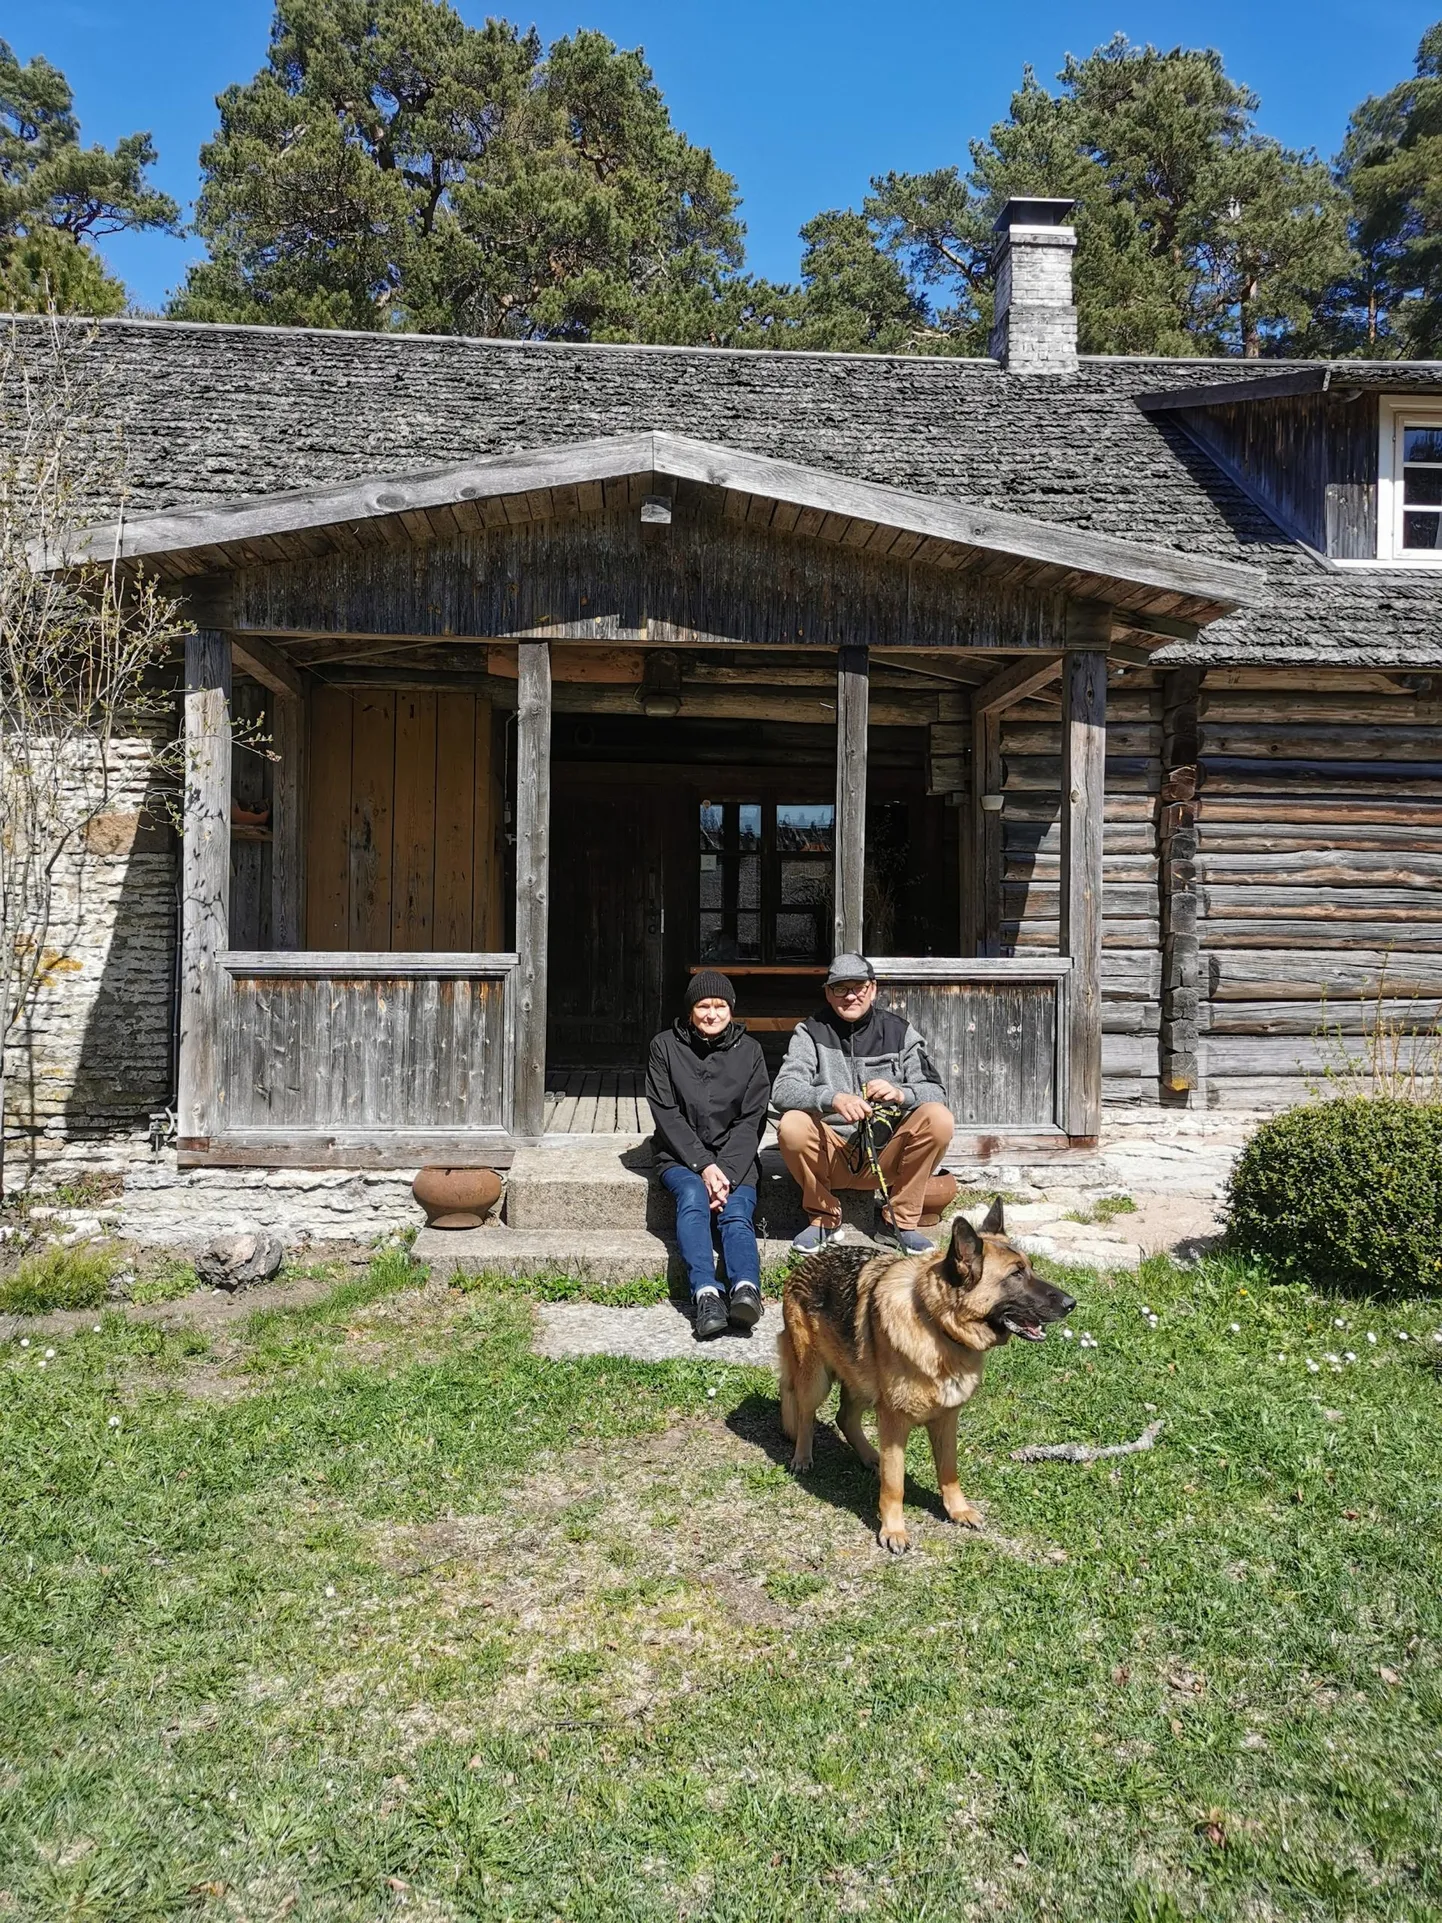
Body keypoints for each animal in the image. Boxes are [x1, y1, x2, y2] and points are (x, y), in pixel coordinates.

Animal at [780, 1199, 1076, 1546]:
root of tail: (809, 1262)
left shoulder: (947, 1420)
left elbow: (949, 1473)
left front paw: (958, 1510)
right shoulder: (894, 1424)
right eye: (1016, 1274)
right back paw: (802, 1457)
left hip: (862, 1383)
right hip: (817, 1378)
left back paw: (870, 1456)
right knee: (805, 1414)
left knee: (845, 1418)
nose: (1072, 1303)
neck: (938, 1326)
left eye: (1030, 1268)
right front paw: (893, 1530)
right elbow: (894, 1484)